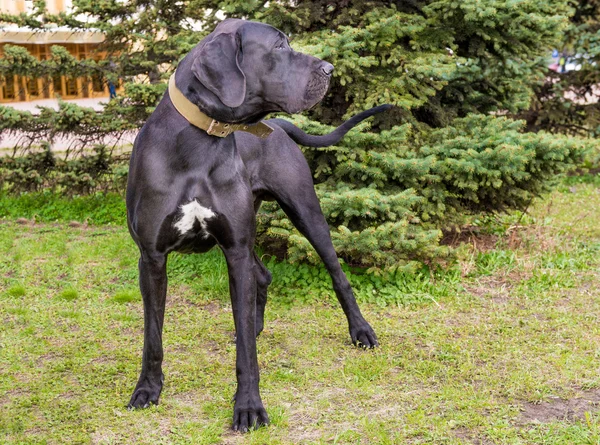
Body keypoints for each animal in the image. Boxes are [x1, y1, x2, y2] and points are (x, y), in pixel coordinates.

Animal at [125, 17, 390, 430]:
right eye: (279, 47)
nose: (329, 69)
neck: (199, 142)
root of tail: (277, 124)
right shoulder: (152, 258)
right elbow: (152, 337)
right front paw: (147, 389)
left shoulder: (235, 248)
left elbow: (247, 354)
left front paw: (248, 406)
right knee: (262, 276)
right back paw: (255, 323)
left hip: (305, 213)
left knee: (337, 275)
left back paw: (360, 331)